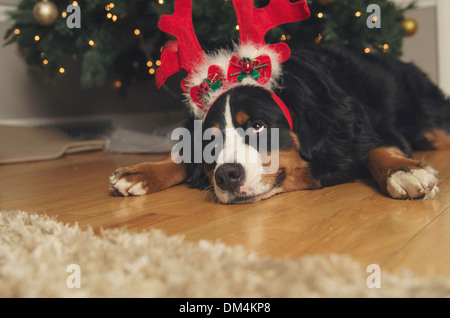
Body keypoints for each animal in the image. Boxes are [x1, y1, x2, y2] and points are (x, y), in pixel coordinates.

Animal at [110, 44, 450, 204]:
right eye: (211, 142)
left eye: (259, 126)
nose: (226, 176)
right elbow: (184, 157)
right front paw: (142, 172)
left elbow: (374, 149)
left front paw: (404, 171)